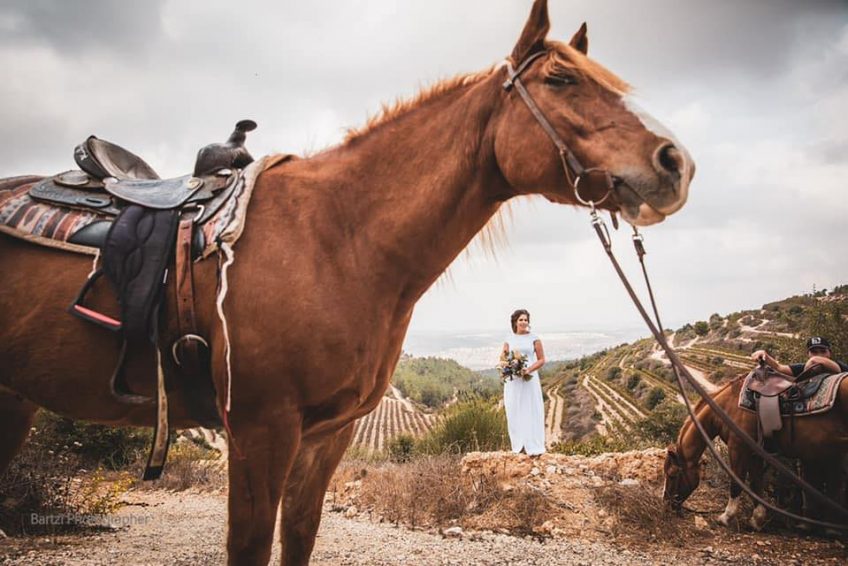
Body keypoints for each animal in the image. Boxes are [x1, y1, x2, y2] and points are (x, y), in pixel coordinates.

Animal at [0, 1, 693, 564]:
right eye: (560, 79)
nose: (675, 163)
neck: (338, 239)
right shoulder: (259, 428)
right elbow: (250, 545)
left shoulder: (326, 438)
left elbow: (299, 538)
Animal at [662, 374, 848, 531]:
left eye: (672, 475)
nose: (667, 504)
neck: (726, 406)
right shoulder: (755, 452)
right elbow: (756, 484)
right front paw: (757, 519)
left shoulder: (738, 447)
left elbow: (737, 482)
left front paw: (726, 517)